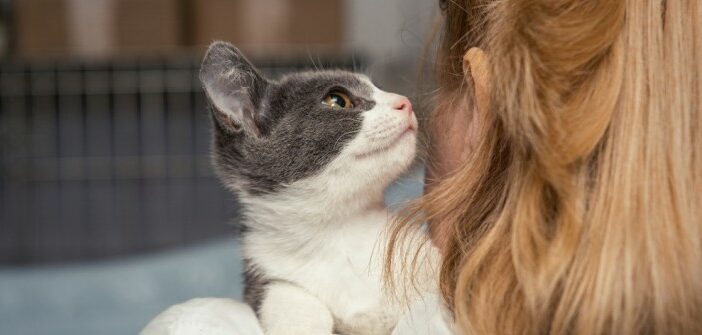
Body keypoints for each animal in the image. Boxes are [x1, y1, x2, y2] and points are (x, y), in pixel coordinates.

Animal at [201, 42, 438, 335]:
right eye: (337, 100)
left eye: (379, 87)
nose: (405, 102)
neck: (341, 233)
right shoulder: (267, 276)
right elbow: (292, 304)